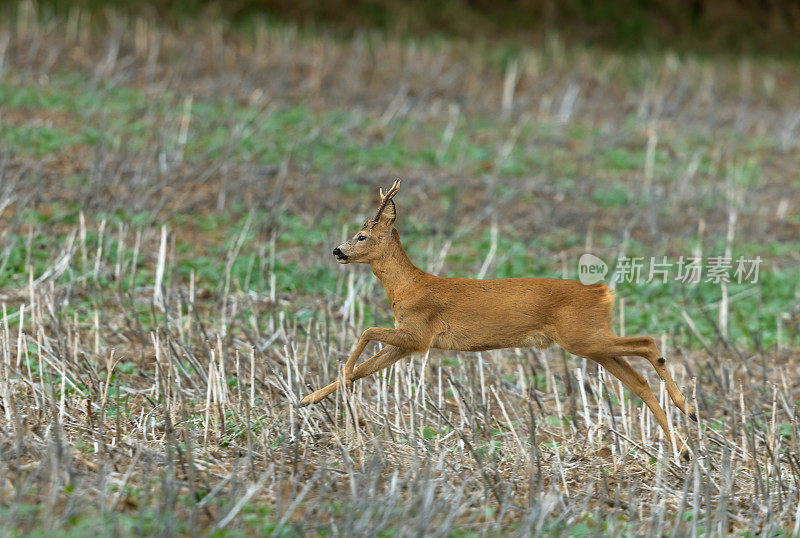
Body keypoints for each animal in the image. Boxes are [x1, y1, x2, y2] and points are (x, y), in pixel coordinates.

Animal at [296, 180, 696, 456]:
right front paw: (307, 400)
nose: (337, 251)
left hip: (581, 337)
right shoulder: (409, 343)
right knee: (638, 381)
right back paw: (684, 448)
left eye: (362, 235)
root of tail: (602, 291)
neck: (407, 286)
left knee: (647, 343)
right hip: (591, 342)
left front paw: (325, 390)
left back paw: (688, 409)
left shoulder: (418, 334)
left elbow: (365, 332)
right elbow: (364, 369)